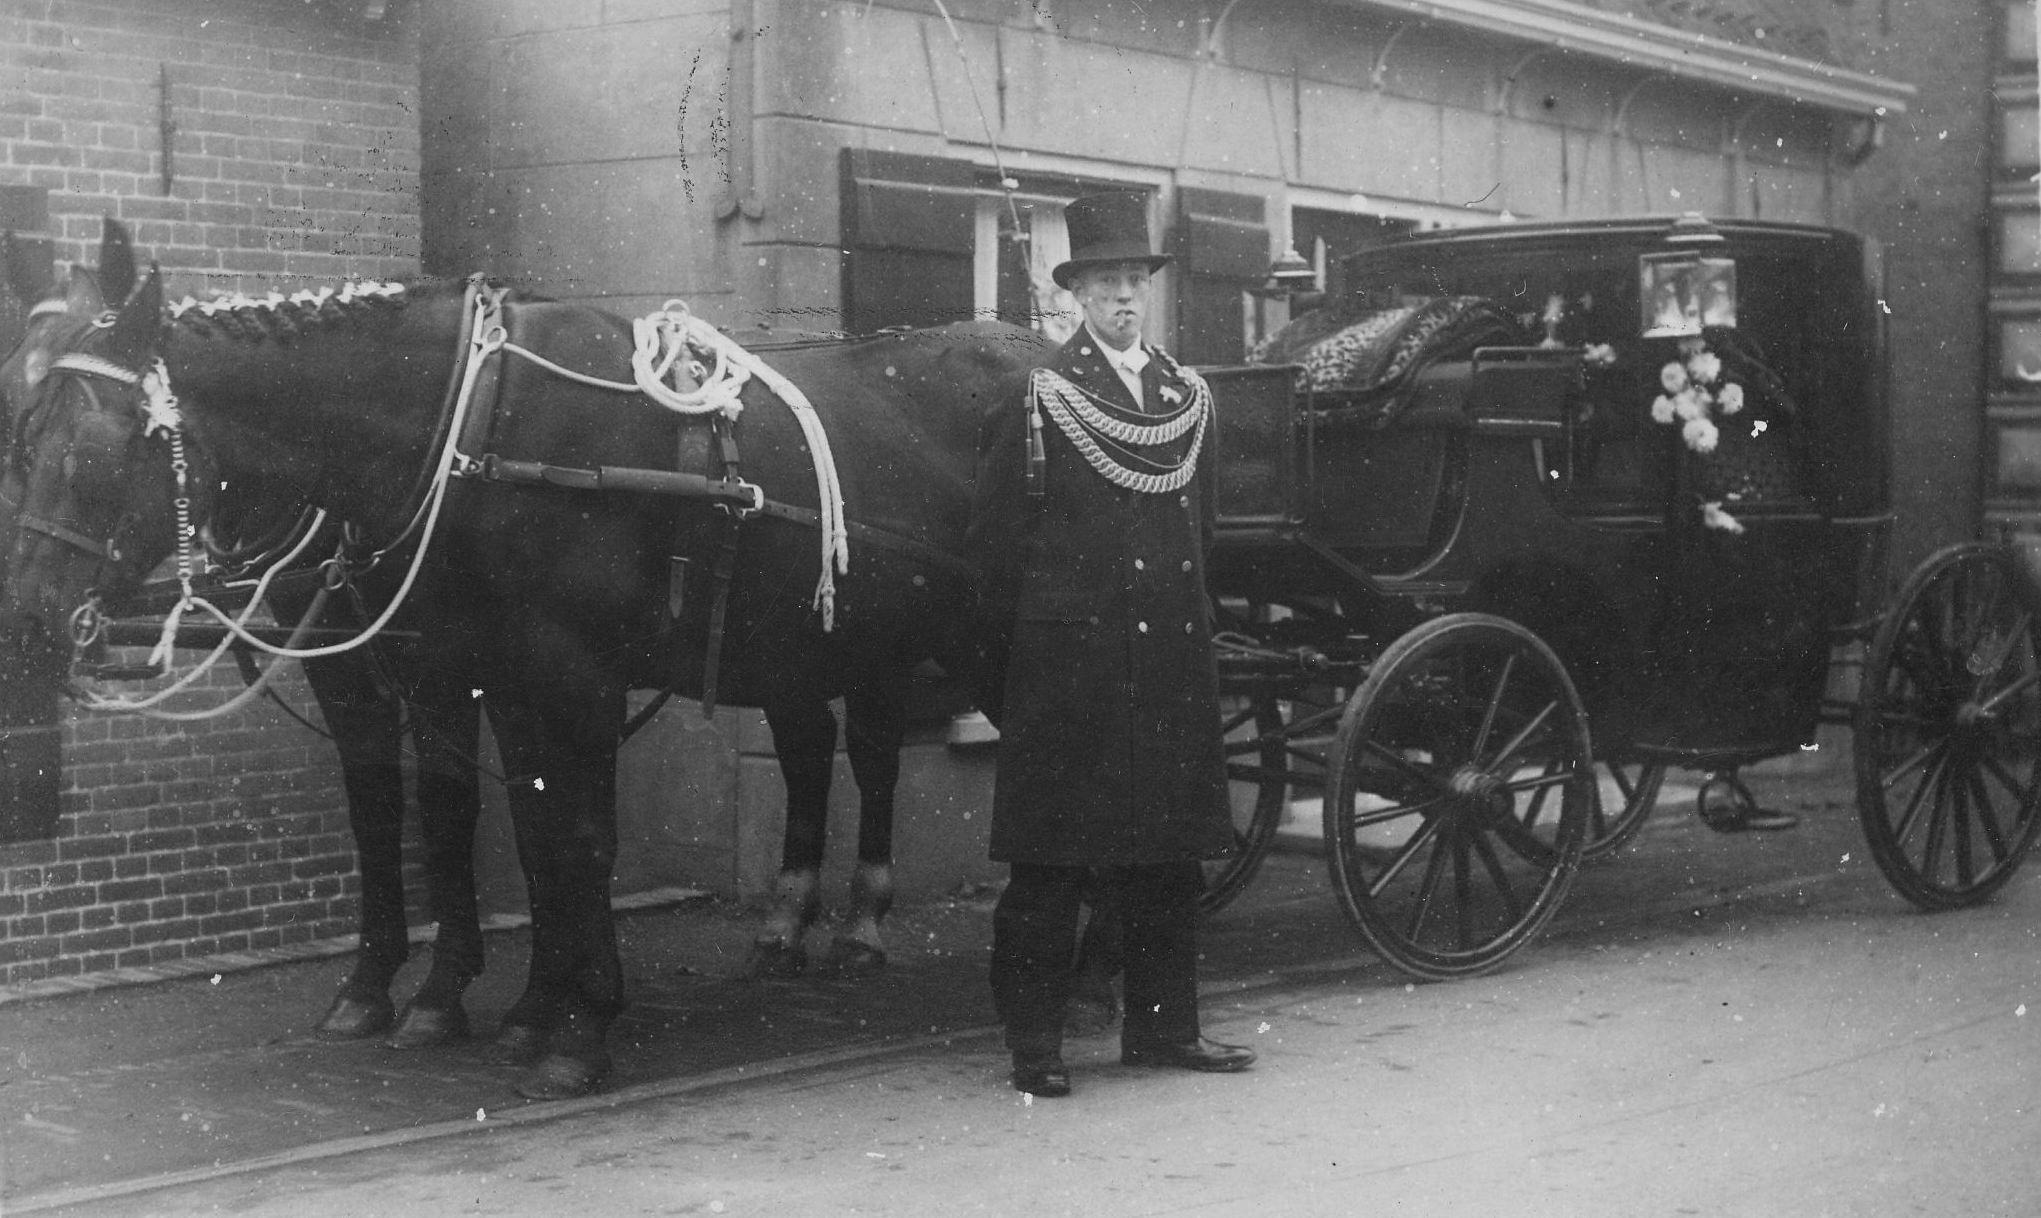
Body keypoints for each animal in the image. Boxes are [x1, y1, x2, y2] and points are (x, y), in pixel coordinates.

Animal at [3, 250, 1045, 1098]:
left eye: (99, 447)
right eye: (25, 435)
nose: (31, 618)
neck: (470, 425)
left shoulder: (563, 672)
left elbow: (570, 838)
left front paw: (573, 1031)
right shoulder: (475, 674)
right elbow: (496, 829)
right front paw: (507, 1007)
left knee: (909, 756)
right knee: (834, 751)